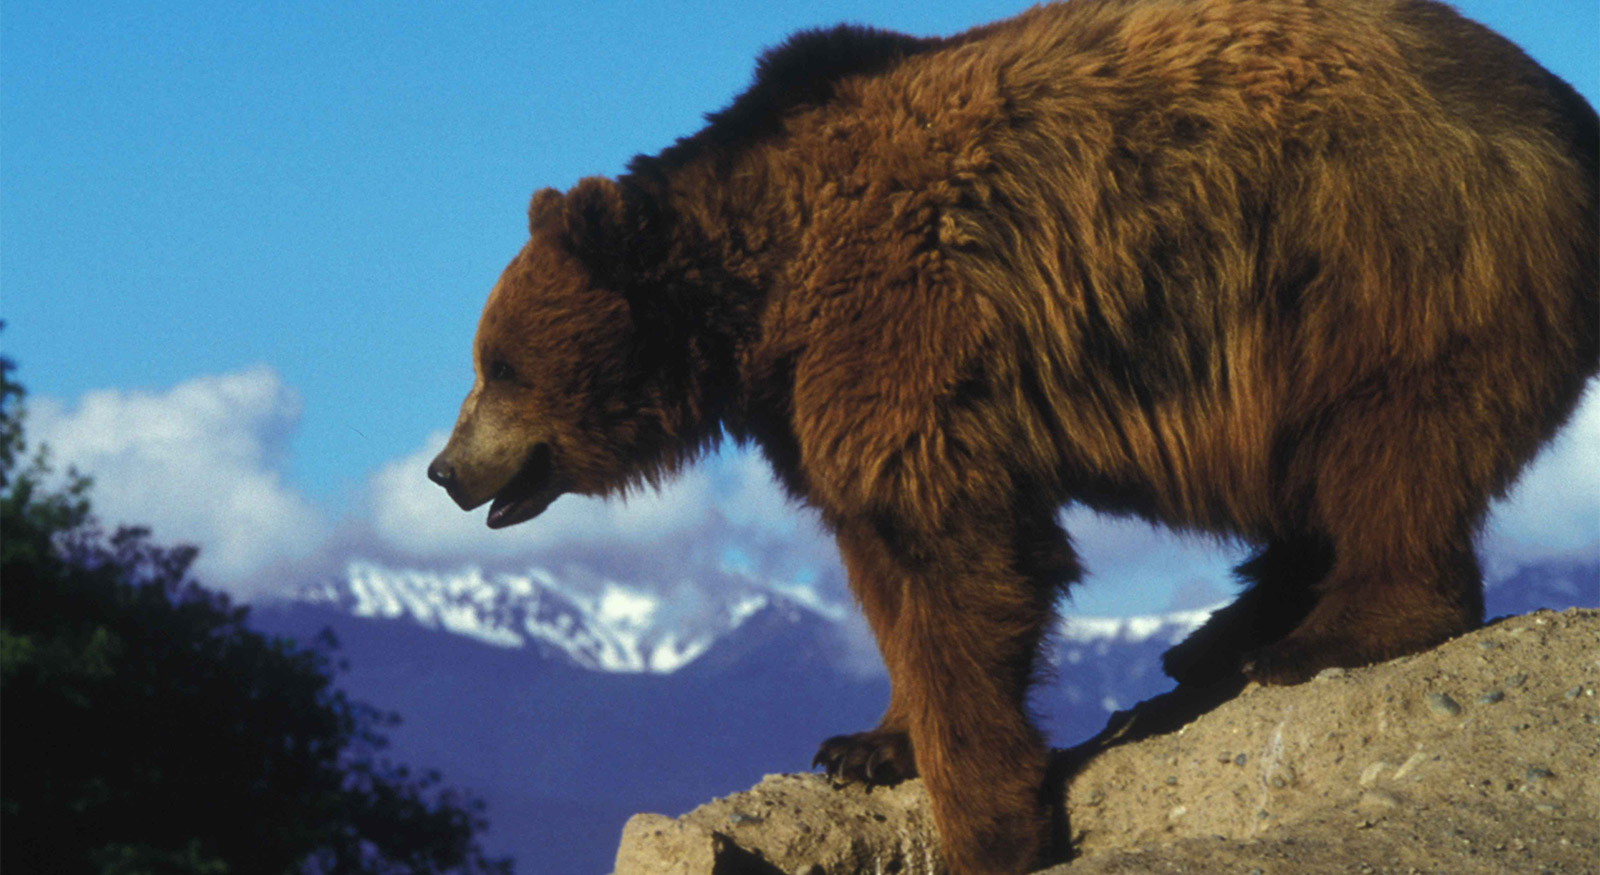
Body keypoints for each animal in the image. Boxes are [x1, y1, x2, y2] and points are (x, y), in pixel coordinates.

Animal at [428, 3, 1600, 870]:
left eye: (499, 366)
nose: (444, 469)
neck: (759, 296)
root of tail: (1562, 111)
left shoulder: (903, 322)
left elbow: (958, 556)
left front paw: (989, 824)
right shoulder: (818, 395)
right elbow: (882, 567)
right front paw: (868, 742)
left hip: (1380, 259)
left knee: (1388, 444)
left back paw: (1320, 634)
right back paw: (1217, 636)